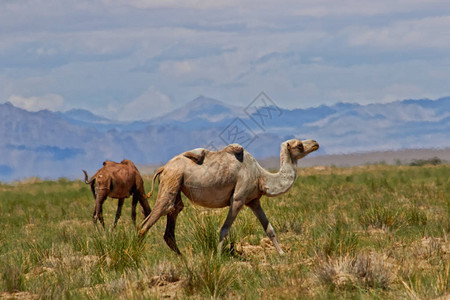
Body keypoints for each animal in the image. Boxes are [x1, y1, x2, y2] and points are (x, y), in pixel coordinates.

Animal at [139, 138, 318, 253]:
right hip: (171, 179)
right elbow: (224, 230)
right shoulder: (238, 199)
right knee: (147, 222)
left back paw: (183, 260)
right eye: (299, 145)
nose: (315, 143)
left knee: (171, 221)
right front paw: (218, 258)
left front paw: (282, 255)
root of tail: (163, 168)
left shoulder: (254, 201)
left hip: (176, 185)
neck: (261, 177)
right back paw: (136, 257)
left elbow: (269, 229)